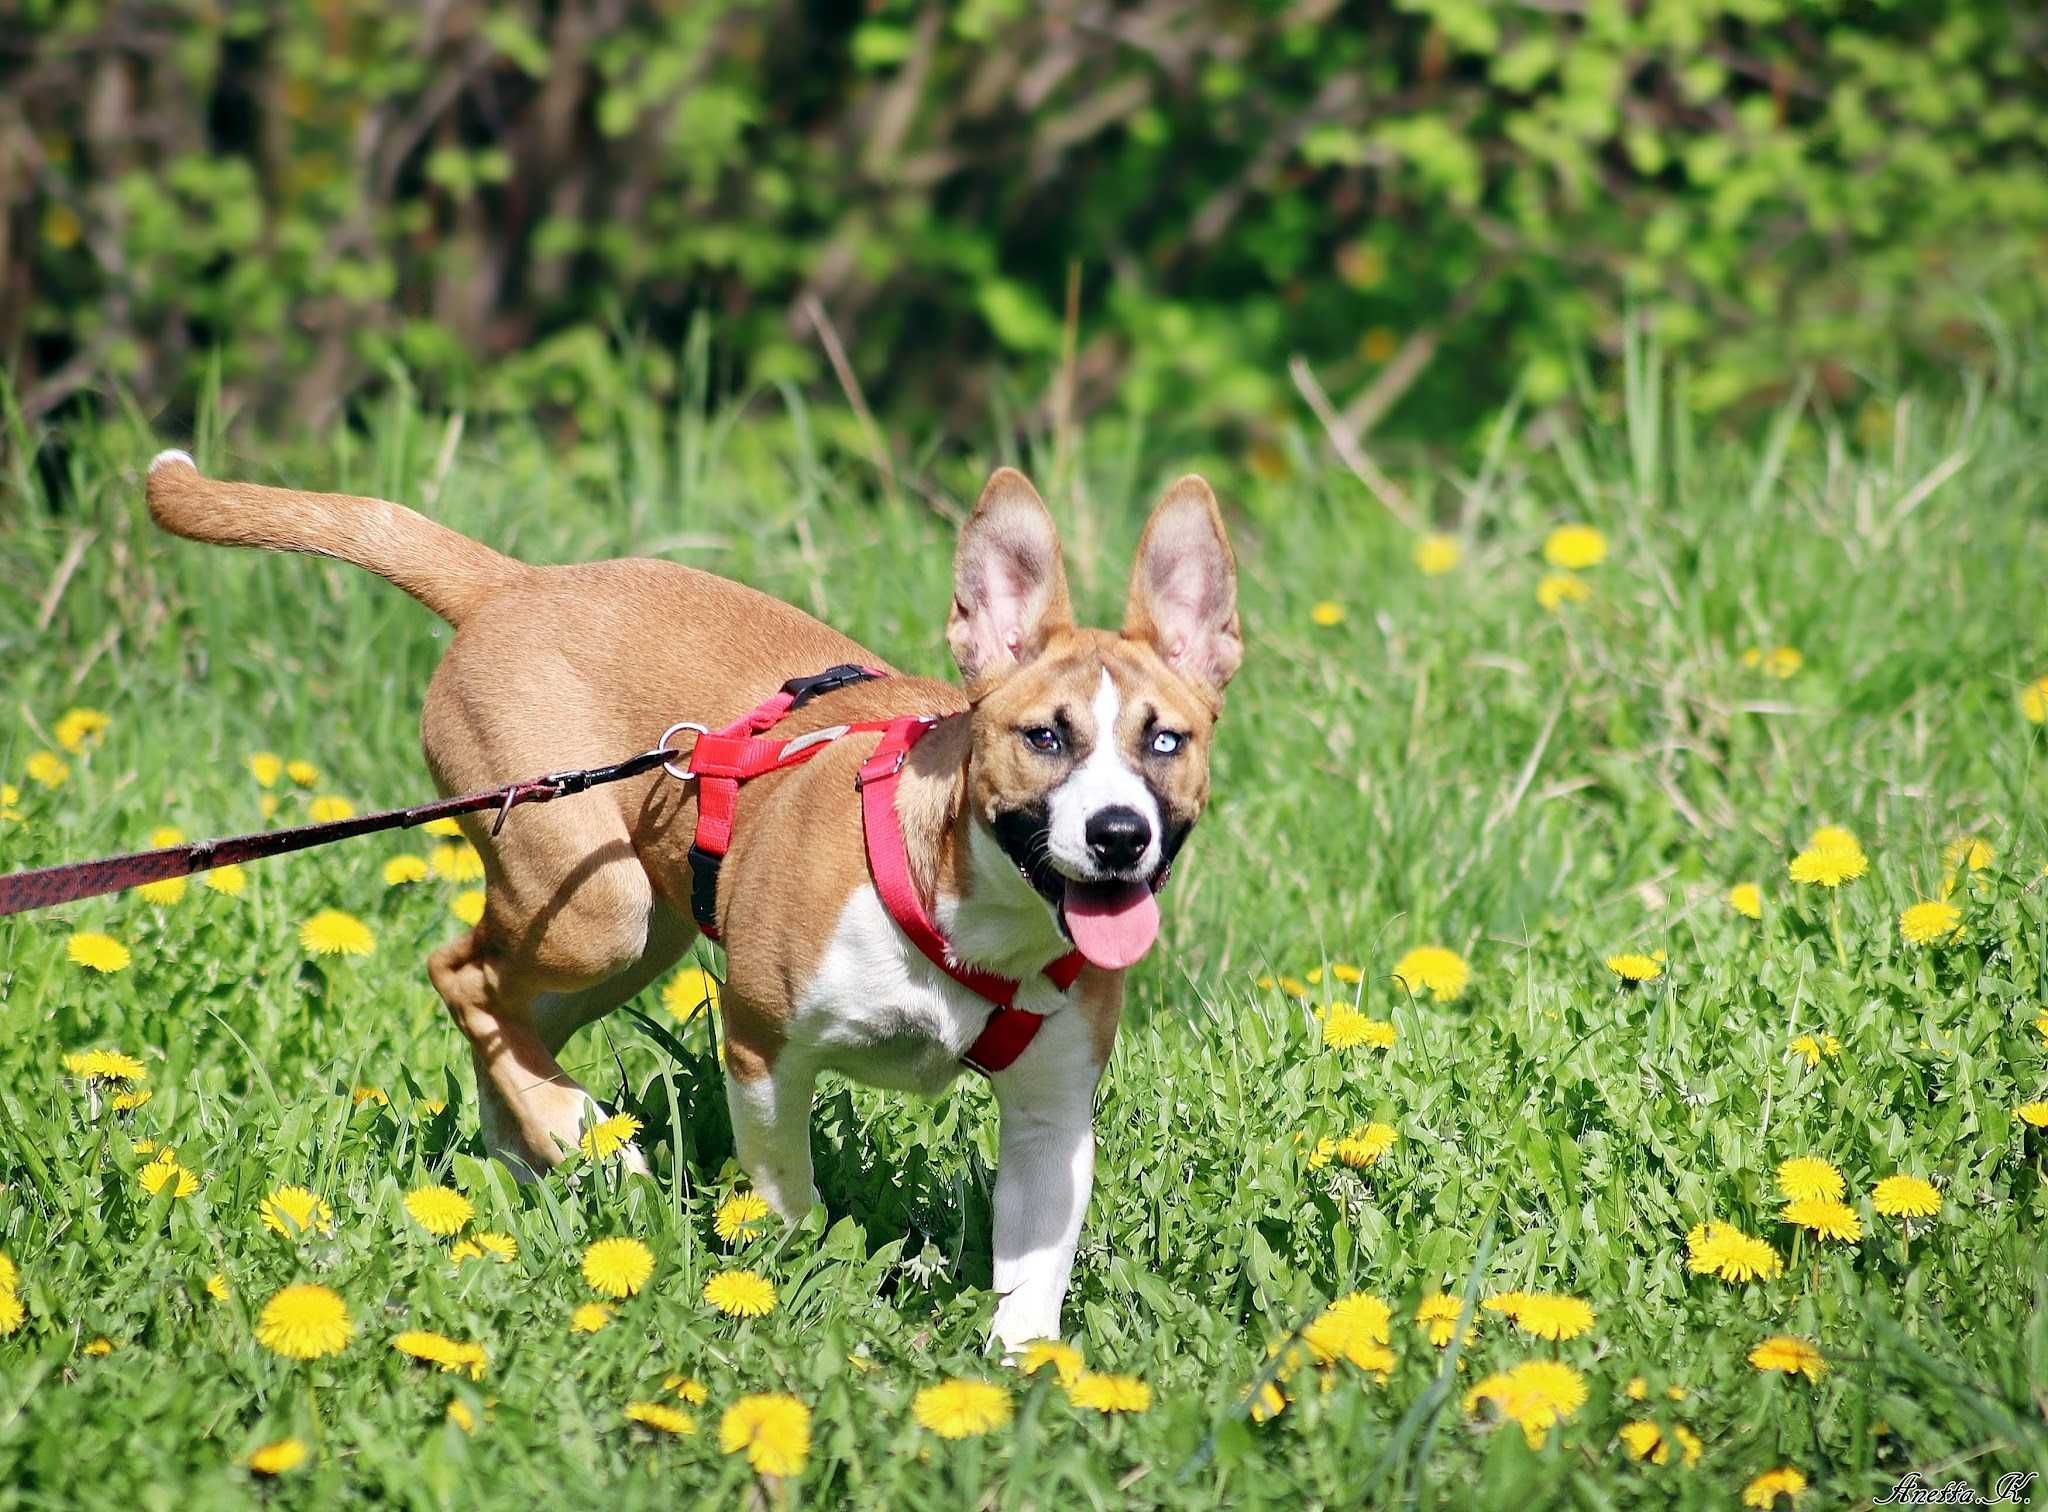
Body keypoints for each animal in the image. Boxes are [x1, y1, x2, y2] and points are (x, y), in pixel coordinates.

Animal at [144, 446, 1236, 1344]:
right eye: (1044, 737)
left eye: (1164, 740)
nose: (1118, 837)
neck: (970, 922)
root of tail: (513, 586)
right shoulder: (762, 1049)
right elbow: (788, 1198)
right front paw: (796, 1288)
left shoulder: (1052, 1114)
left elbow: (1032, 1274)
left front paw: (1022, 1389)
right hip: (592, 909)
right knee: (459, 971)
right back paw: (573, 1134)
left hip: (633, 937)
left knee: (505, 1011)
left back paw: (545, 1148)